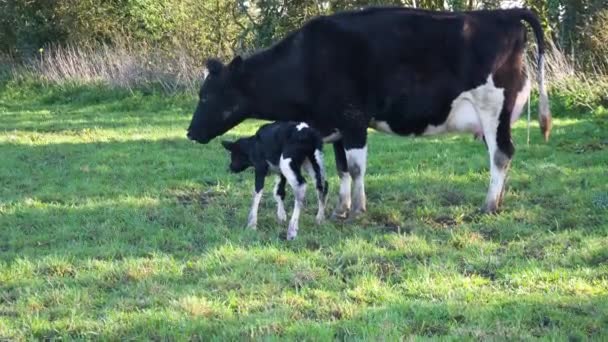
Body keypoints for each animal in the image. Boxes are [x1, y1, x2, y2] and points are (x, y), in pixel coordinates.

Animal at [188, 6, 552, 218]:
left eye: (206, 96)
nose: (190, 133)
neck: (308, 60)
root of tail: (504, 13)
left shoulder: (353, 120)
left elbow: (356, 167)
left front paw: (358, 209)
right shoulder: (334, 125)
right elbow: (341, 169)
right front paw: (341, 208)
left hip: (493, 109)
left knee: (501, 154)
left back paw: (489, 205)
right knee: (502, 155)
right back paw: (499, 201)